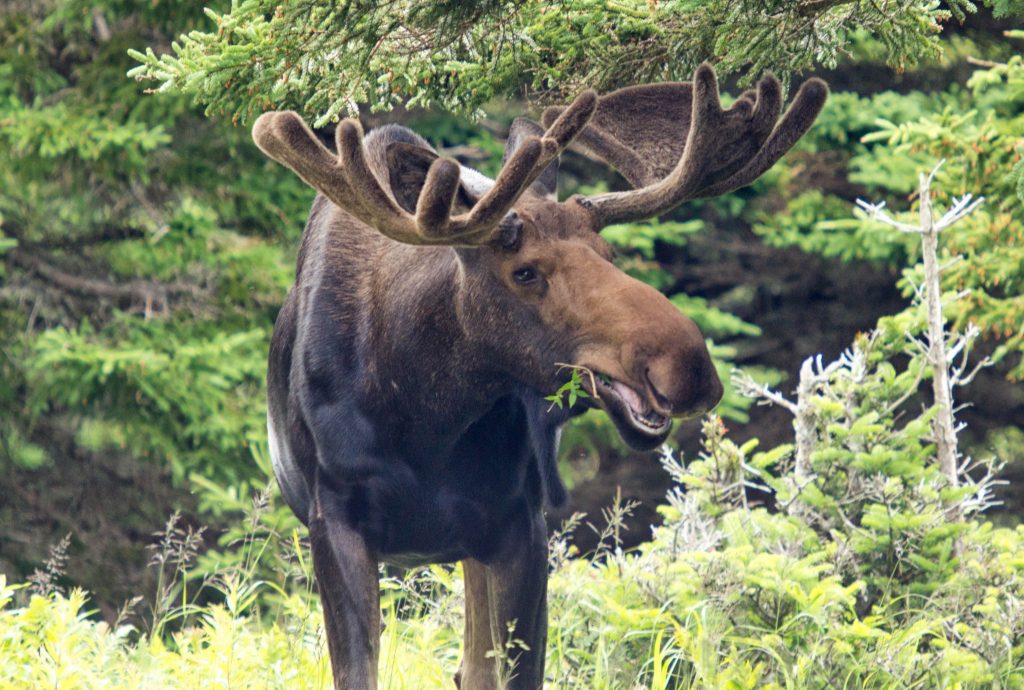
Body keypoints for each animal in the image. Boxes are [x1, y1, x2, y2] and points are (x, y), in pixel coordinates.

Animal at [253, 61, 823, 683]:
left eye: (609, 255)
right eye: (524, 272)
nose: (688, 366)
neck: (421, 416)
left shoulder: (517, 524)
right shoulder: (334, 523)